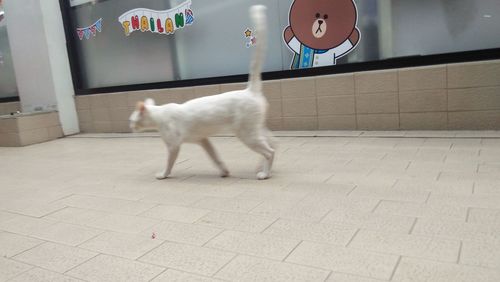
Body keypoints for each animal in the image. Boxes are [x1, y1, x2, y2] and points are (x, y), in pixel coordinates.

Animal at [129, 5, 276, 180]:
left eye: (131, 120)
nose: (130, 127)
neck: (158, 115)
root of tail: (250, 90)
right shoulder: (203, 140)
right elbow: (215, 157)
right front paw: (224, 171)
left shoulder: (173, 146)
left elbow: (169, 164)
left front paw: (163, 175)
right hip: (257, 130)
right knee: (274, 143)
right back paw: (261, 167)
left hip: (247, 134)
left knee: (270, 151)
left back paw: (264, 173)